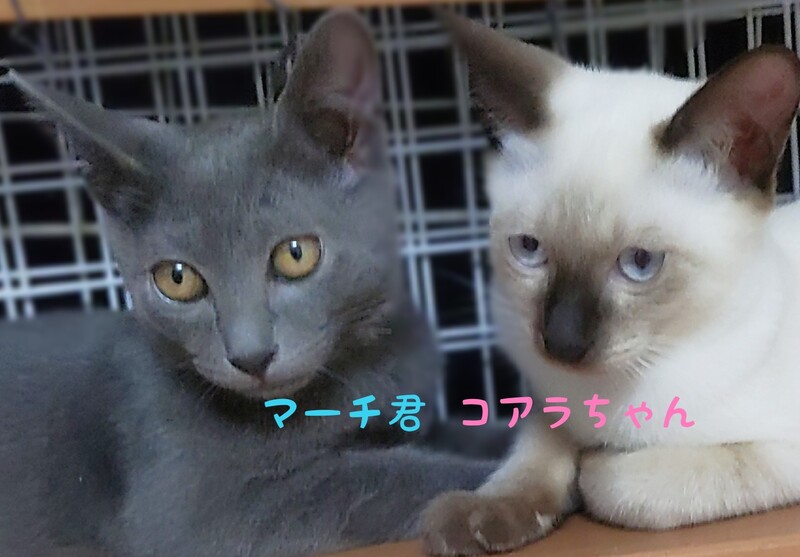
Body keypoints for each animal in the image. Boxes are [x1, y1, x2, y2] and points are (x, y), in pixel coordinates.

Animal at [421, 10, 800, 556]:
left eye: (640, 263)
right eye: (529, 250)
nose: (561, 342)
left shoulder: (778, 452)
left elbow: (613, 482)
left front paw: (593, 465)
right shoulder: (547, 407)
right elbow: (530, 459)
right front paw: (476, 518)